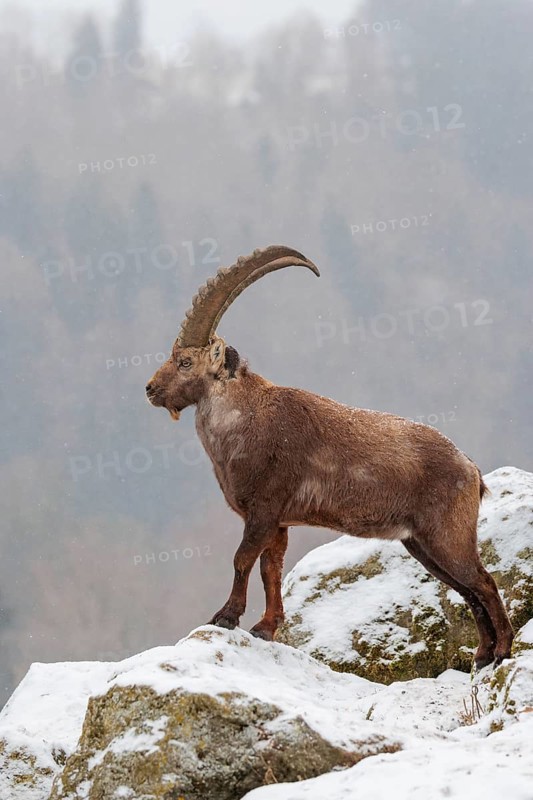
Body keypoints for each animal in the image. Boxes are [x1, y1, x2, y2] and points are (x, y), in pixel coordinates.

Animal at [146, 245, 513, 669]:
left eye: (185, 362)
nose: (150, 389)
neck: (247, 420)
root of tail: (471, 469)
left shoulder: (264, 508)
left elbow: (242, 559)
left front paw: (226, 616)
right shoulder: (280, 521)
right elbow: (271, 570)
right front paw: (265, 628)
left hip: (447, 535)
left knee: (483, 582)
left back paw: (502, 651)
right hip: (421, 544)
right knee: (468, 590)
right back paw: (482, 656)